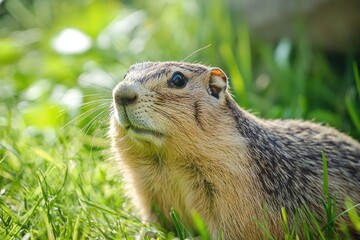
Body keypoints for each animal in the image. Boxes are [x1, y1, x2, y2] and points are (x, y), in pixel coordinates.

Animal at [109, 61, 360, 238]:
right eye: (125, 74)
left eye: (178, 79)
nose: (122, 94)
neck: (166, 161)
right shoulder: (146, 189)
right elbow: (154, 218)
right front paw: (145, 233)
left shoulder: (235, 195)